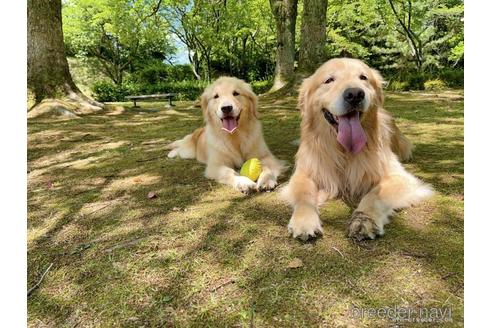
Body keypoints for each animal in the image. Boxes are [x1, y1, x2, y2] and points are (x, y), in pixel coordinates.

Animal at [282, 57, 432, 241]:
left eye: (363, 77)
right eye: (329, 80)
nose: (355, 95)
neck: (344, 150)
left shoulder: (399, 178)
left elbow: (373, 196)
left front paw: (364, 220)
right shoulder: (305, 172)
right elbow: (304, 195)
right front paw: (304, 221)